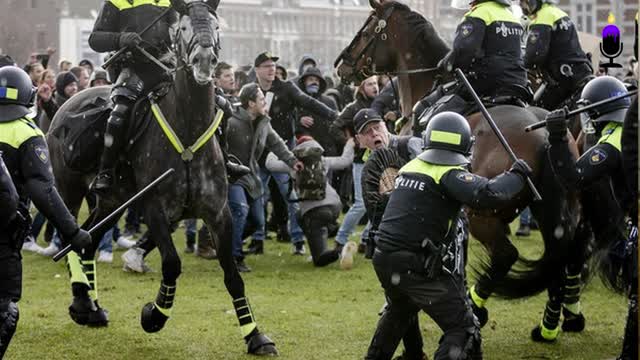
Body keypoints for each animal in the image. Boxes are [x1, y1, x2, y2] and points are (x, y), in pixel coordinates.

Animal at [338, 0, 584, 312]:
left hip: (485, 217)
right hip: (558, 214)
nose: (341, 64)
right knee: (562, 261)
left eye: (367, 28)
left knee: (506, 256)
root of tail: (542, 135)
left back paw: (477, 306)